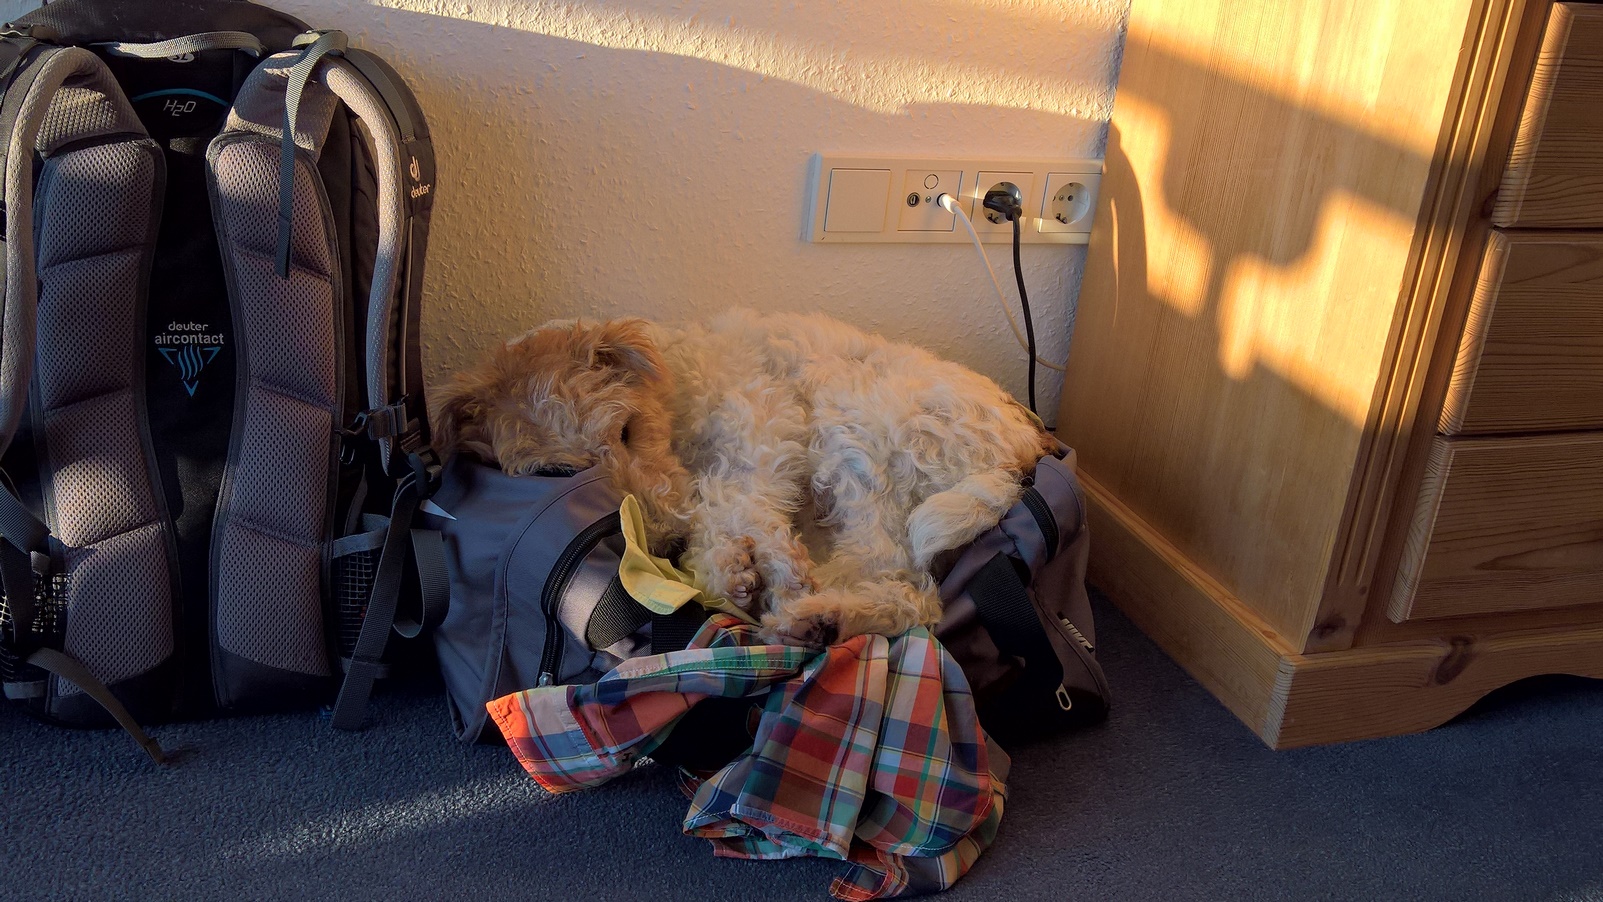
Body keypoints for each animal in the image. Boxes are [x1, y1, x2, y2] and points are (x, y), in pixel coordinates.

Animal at [432, 309, 1057, 645]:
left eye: (626, 429)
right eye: (562, 472)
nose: (664, 541)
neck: (673, 391)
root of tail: (1024, 447)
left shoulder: (763, 424)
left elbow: (729, 501)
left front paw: (752, 563)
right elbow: (717, 513)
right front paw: (728, 569)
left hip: (851, 430)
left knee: (905, 585)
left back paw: (808, 609)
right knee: (910, 593)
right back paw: (811, 615)